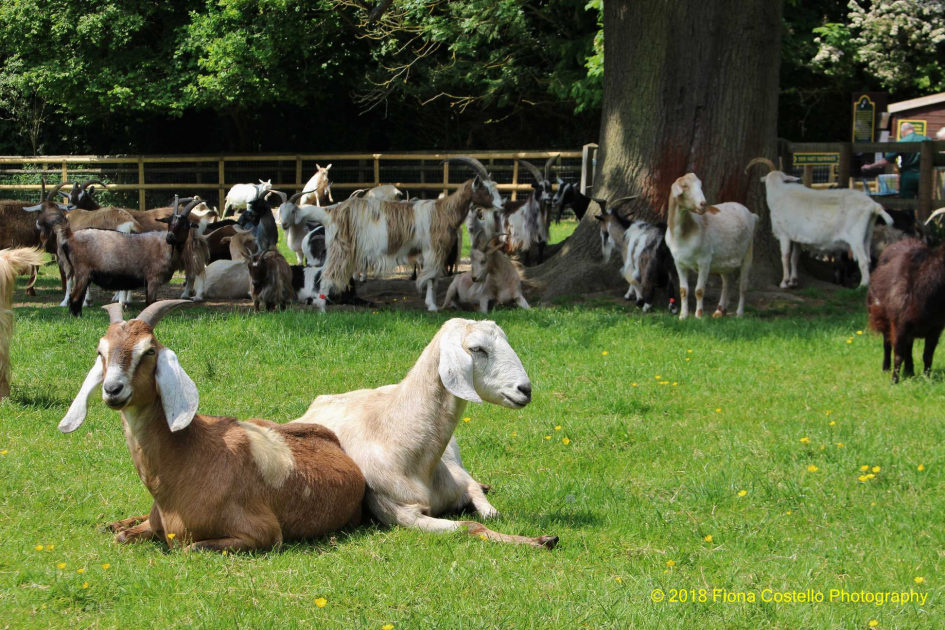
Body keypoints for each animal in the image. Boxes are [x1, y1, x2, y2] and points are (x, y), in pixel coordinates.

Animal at [59, 300, 364, 552]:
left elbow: (189, 548)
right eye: (101, 351)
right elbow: (124, 537)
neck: (186, 459)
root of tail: (330, 438)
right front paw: (119, 526)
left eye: (149, 350)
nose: (113, 389)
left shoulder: (263, 533)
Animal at [293, 318, 556, 548]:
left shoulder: (458, 483)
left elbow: (489, 512)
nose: (525, 390)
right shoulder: (402, 513)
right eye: (477, 349)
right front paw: (539, 541)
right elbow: (472, 526)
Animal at [315, 156, 504, 312]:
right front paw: (432, 306)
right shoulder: (433, 250)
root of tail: (333, 212)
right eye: (486, 190)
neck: (444, 212)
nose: (501, 205)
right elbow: (431, 279)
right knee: (327, 273)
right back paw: (322, 309)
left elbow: (434, 279)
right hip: (341, 248)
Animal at [666, 173, 757, 319]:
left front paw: (698, 315)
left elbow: (699, 290)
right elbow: (683, 290)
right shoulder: (679, 263)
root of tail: (751, 214)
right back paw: (720, 311)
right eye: (685, 186)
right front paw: (683, 316)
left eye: (700, 185)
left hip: (748, 253)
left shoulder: (704, 261)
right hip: (725, 261)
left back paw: (739, 313)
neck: (684, 234)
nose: (703, 204)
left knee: (743, 285)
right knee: (727, 283)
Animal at [746, 158, 893, 288]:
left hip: (855, 237)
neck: (778, 195)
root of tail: (873, 206)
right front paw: (794, 281)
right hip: (867, 235)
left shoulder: (784, 235)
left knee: (862, 260)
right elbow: (794, 258)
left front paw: (784, 282)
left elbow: (785, 257)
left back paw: (862, 286)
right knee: (868, 259)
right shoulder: (797, 238)